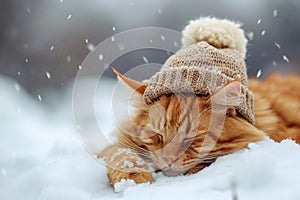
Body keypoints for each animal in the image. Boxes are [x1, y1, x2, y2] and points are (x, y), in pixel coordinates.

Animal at [96, 71, 300, 187]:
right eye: (158, 136)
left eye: (191, 138)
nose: (168, 159)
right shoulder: (116, 145)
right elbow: (121, 155)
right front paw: (134, 177)